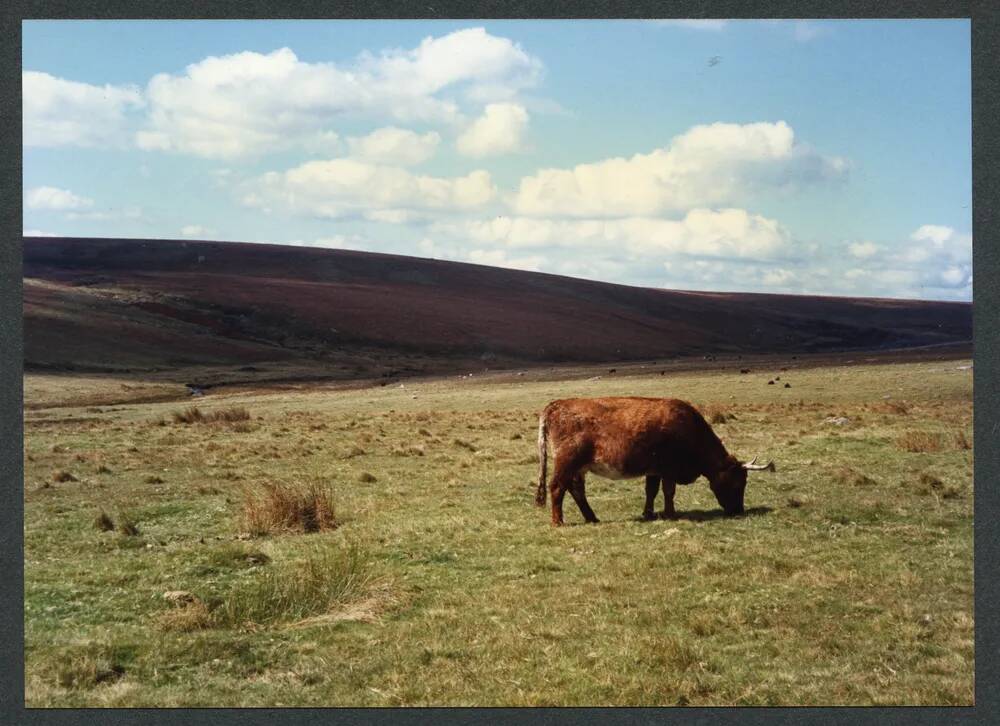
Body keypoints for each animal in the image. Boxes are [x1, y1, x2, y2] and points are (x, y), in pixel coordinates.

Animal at [540, 398, 772, 528]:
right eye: (738, 483)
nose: (738, 510)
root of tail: (555, 405)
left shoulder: (654, 470)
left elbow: (651, 491)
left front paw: (648, 513)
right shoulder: (669, 468)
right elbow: (669, 491)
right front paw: (670, 513)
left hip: (578, 468)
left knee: (576, 490)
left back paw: (592, 518)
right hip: (567, 462)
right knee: (557, 487)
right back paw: (558, 521)